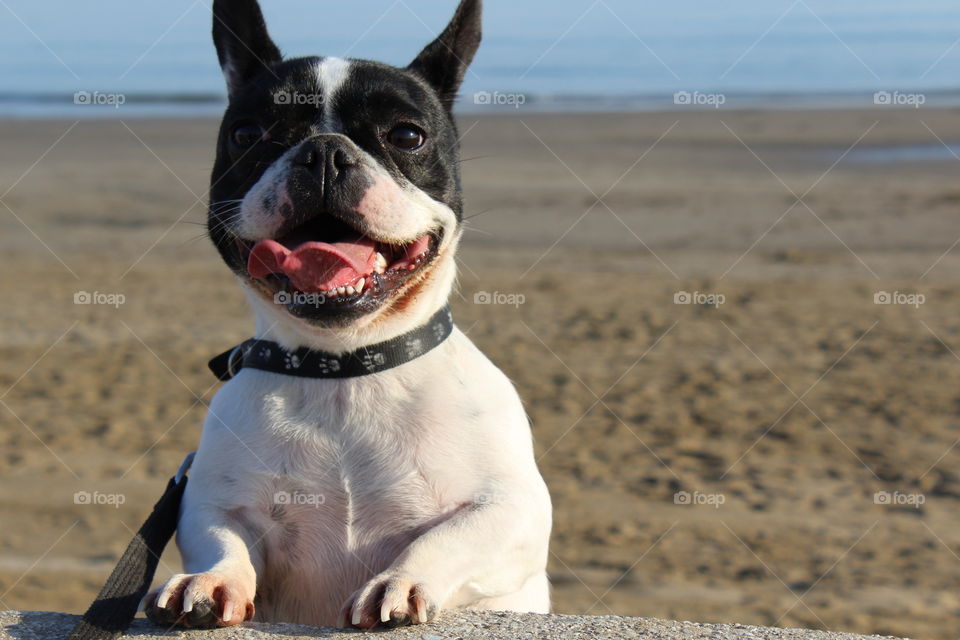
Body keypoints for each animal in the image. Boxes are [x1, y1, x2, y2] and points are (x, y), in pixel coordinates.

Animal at [140, 0, 552, 632]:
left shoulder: (510, 508)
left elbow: (448, 537)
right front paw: (211, 581)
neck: (346, 367)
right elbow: (222, 538)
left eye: (407, 135)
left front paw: (400, 581)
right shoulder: (212, 501)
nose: (325, 151)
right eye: (248, 134)